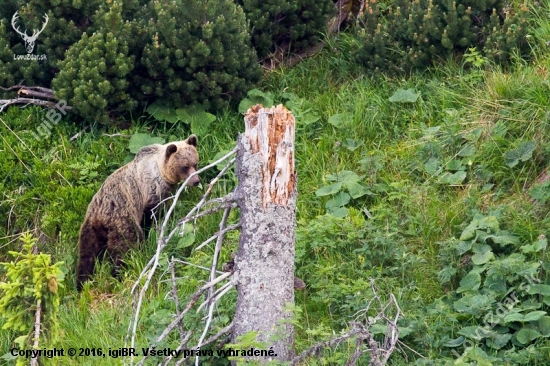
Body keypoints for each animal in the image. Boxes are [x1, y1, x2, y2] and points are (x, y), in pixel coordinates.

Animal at [76, 136, 199, 290]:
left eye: (195, 163)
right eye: (185, 167)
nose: (196, 181)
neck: (161, 171)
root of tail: (101, 216)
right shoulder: (151, 192)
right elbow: (152, 215)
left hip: (90, 226)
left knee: (86, 254)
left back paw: (82, 283)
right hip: (122, 222)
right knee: (126, 248)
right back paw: (119, 274)